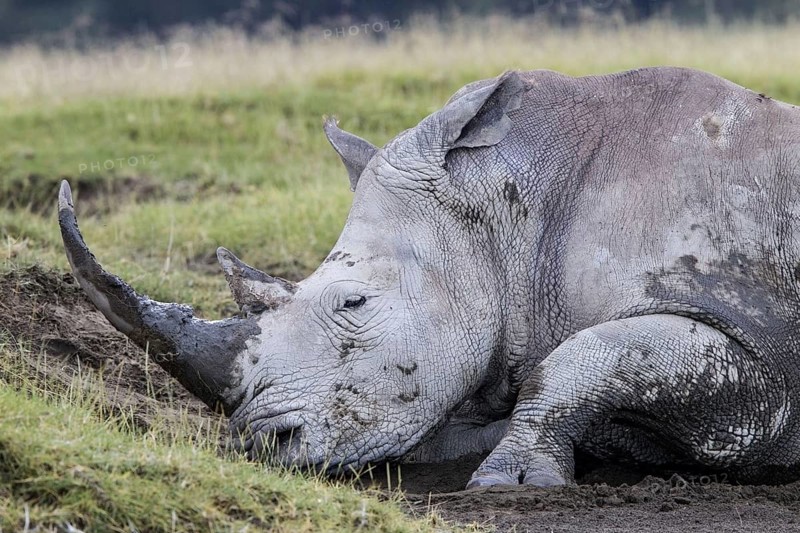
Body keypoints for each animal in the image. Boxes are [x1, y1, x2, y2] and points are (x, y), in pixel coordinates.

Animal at [58, 66, 800, 487]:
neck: (508, 211)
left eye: (354, 302)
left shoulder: (756, 349)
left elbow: (581, 358)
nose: (261, 445)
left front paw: (512, 481)